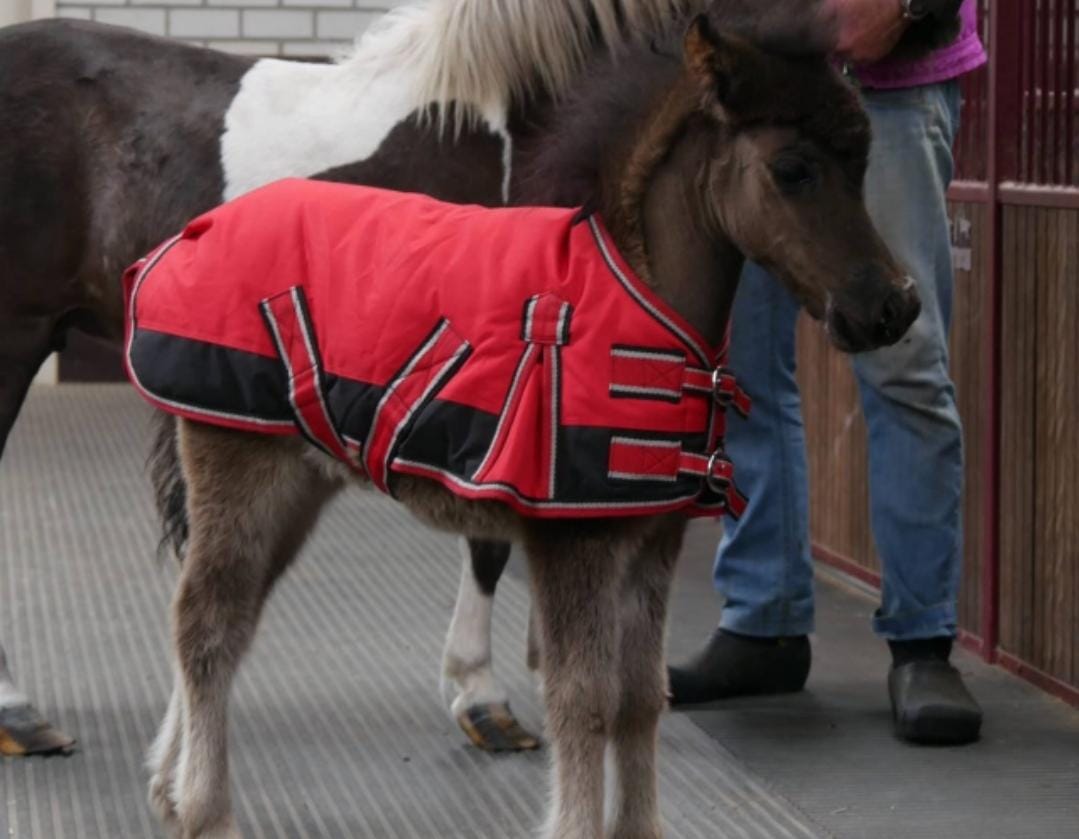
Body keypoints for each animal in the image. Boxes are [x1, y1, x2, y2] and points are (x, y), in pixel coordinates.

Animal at [0, 0, 961, 757]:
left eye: (863, 158)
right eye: (793, 168)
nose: (889, 307)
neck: (523, 130)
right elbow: (492, 533)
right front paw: (485, 696)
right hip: (17, 337)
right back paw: (20, 712)